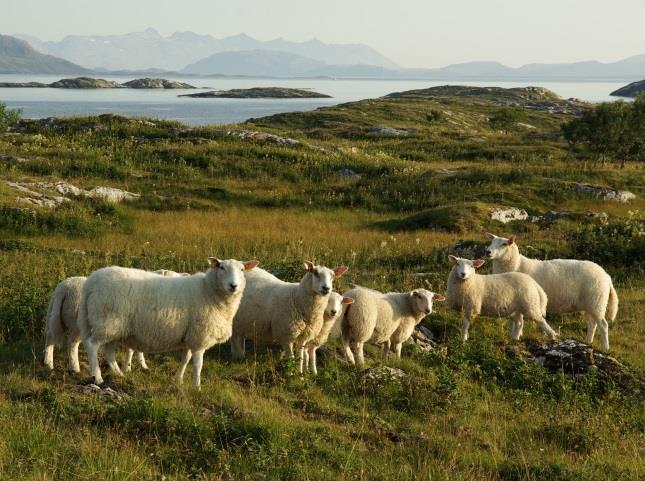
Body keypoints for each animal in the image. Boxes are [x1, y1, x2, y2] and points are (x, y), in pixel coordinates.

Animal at [76, 256, 255, 384]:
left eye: (242, 269)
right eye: (222, 267)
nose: (233, 286)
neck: (209, 291)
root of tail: (91, 283)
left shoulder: (189, 335)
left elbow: (185, 359)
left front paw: (178, 379)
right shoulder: (200, 335)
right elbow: (198, 364)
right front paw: (196, 386)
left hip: (113, 327)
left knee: (108, 351)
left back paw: (119, 374)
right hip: (107, 322)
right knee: (92, 345)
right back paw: (98, 377)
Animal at [486, 232, 616, 348]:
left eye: (504, 244)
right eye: (491, 242)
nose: (487, 252)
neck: (517, 265)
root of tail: (606, 276)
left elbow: (518, 321)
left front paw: (516, 337)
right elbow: (512, 321)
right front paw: (512, 336)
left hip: (597, 302)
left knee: (603, 325)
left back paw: (605, 347)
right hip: (587, 305)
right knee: (592, 324)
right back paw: (588, 342)